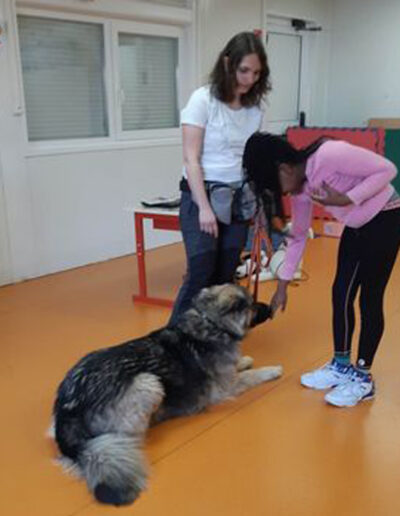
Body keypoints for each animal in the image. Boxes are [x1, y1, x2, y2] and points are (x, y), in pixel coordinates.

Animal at [53, 282, 282, 504]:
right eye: (252, 305)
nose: (271, 308)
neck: (212, 323)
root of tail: (67, 409)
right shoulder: (227, 387)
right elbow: (251, 375)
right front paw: (271, 370)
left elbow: (240, 367)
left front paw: (245, 360)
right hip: (149, 383)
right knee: (128, 435)